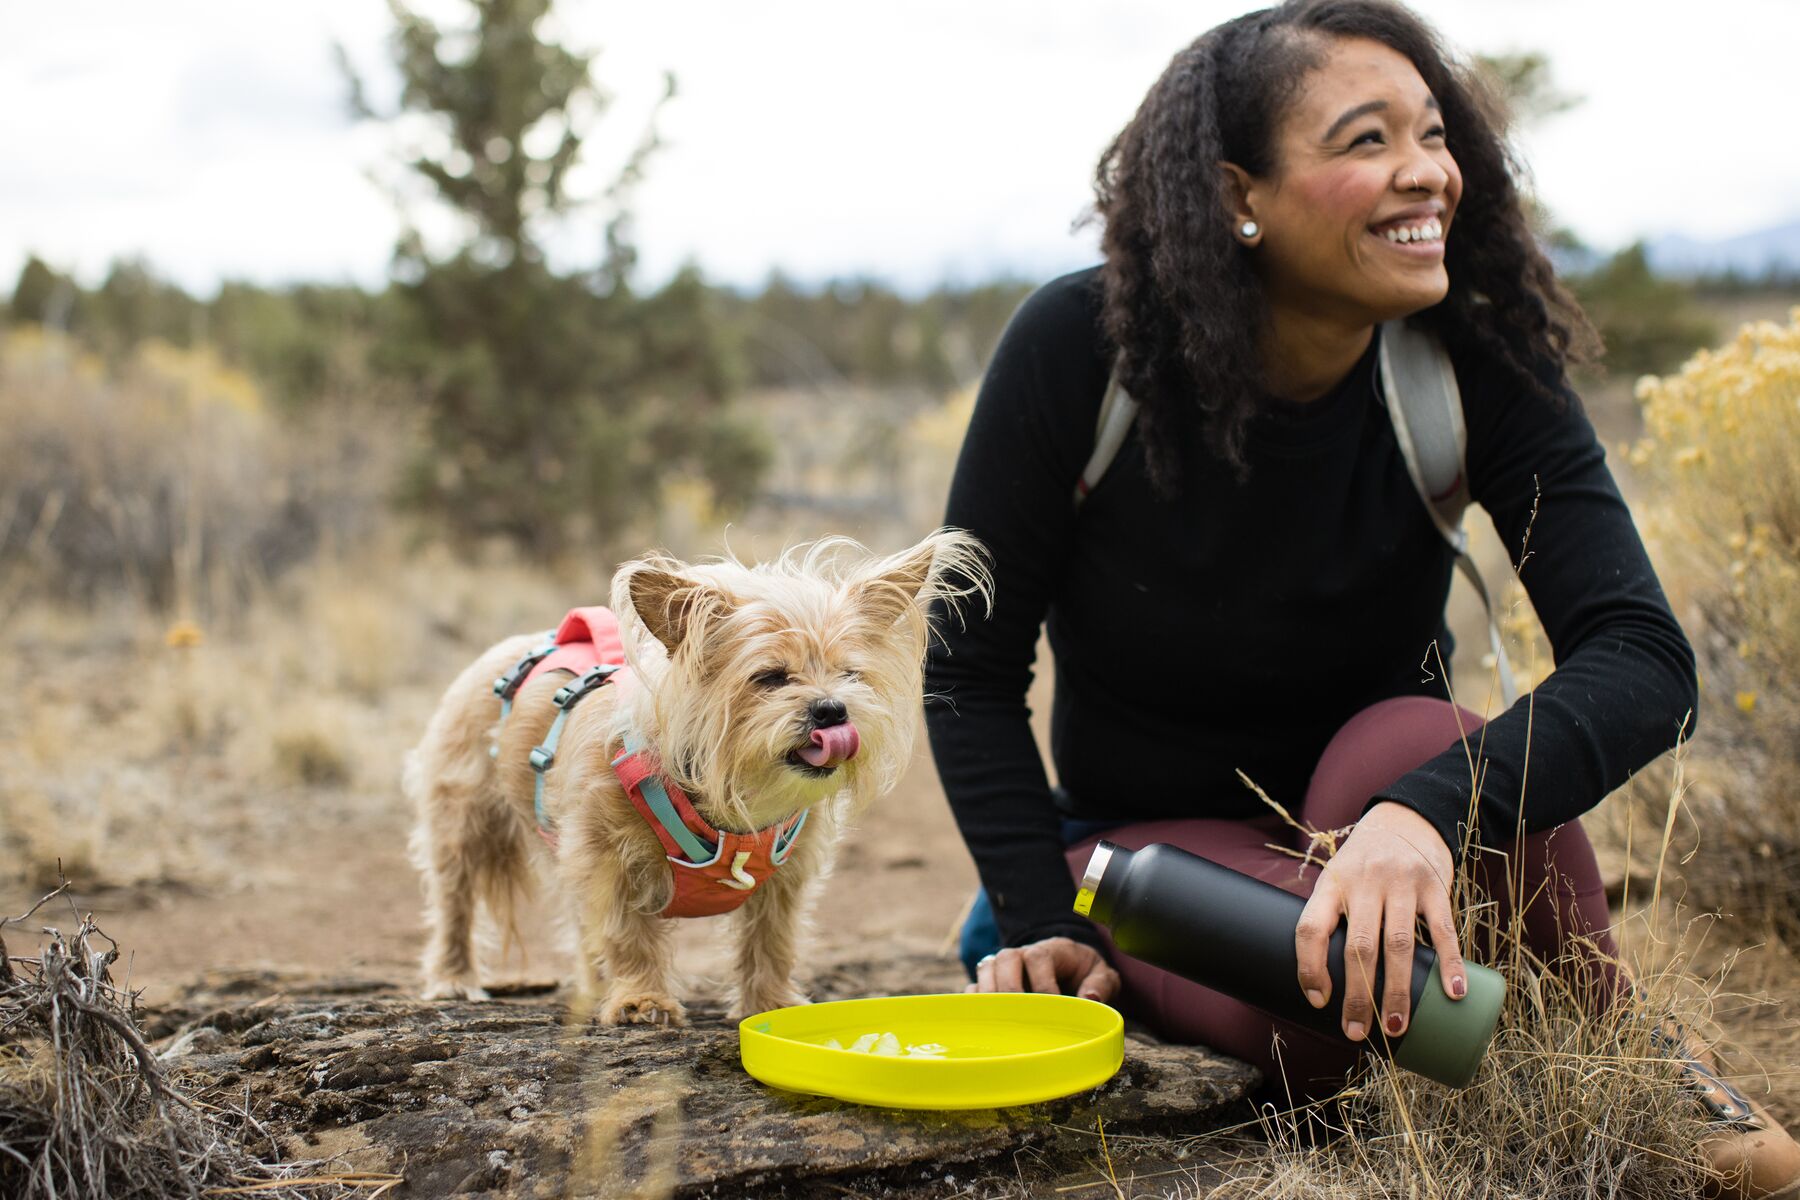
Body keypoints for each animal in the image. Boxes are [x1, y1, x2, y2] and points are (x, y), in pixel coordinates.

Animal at [406, 528, 986, 1029]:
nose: (832, 710)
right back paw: (455, 978)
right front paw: (641, 999)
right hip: (465, 821)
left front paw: (771, 1001)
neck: (731, 792)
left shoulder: (787, 875)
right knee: (455, 901)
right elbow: (626, 933)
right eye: (770, 678)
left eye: (850, 675)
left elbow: (771, 938)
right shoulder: (605, 859)